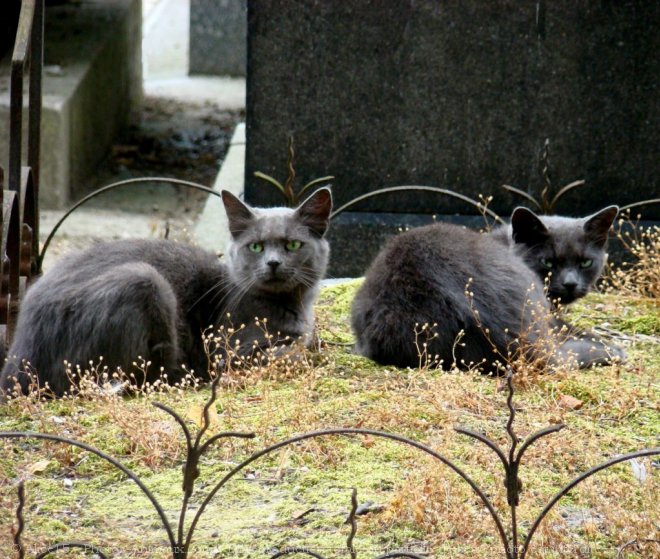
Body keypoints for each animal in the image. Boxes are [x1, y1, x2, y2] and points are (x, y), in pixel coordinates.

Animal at [0, 186, 330, 396]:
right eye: (257, 246)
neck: (294, 305)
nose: (273, 263)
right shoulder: (233, 349)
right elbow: (293, 352)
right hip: (144, 279)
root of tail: (16, 362)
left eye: (293, 245)